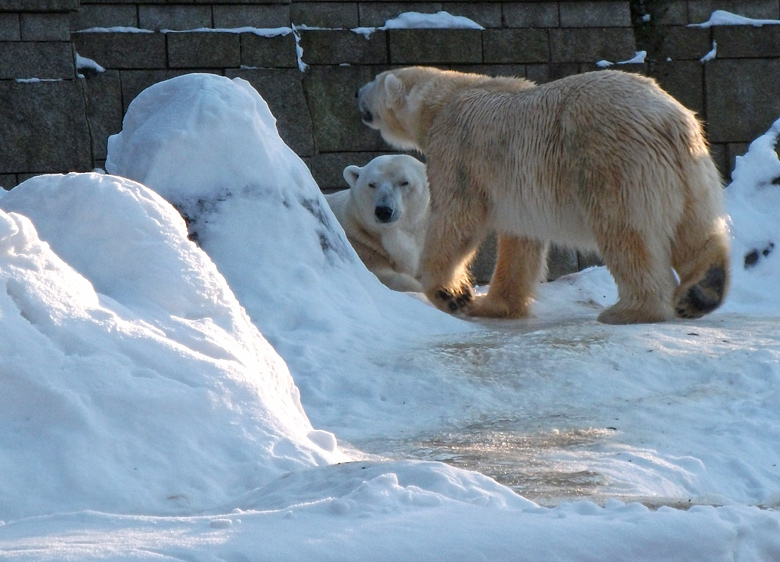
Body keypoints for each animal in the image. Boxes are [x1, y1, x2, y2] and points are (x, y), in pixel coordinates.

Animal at [356, 65, 728, 322]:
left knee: (626, 232)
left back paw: (631, 310)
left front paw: (451, 294)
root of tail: (666, 118)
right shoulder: (519, 185)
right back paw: (702, 291)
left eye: (373, 80)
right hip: (691, 166)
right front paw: (495, 304)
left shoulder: (457, 148)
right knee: (697, 227)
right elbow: (521, 240)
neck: (445, 98)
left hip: (613, 160)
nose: (356, 93)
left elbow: (456, 218)